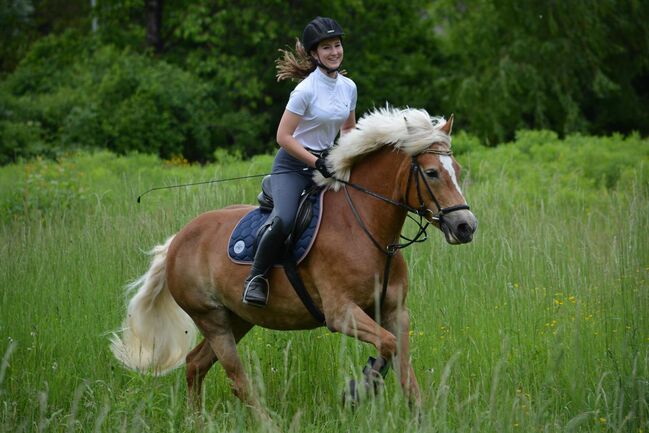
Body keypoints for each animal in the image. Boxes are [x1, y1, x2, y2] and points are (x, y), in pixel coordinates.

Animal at [110, 106, 476, 414]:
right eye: (432, 173)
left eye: (456, 170)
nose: (466, 226)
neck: (367, 230)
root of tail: (177, 241)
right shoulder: (340, 313)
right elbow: (387, 347)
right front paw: (357, 390)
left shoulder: (395, 312)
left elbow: (404, 369)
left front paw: (415, 415)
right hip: (211, 318)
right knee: (237, 381)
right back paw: (265, 421)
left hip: (237, 317)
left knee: (195, 364)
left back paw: (196, 421)